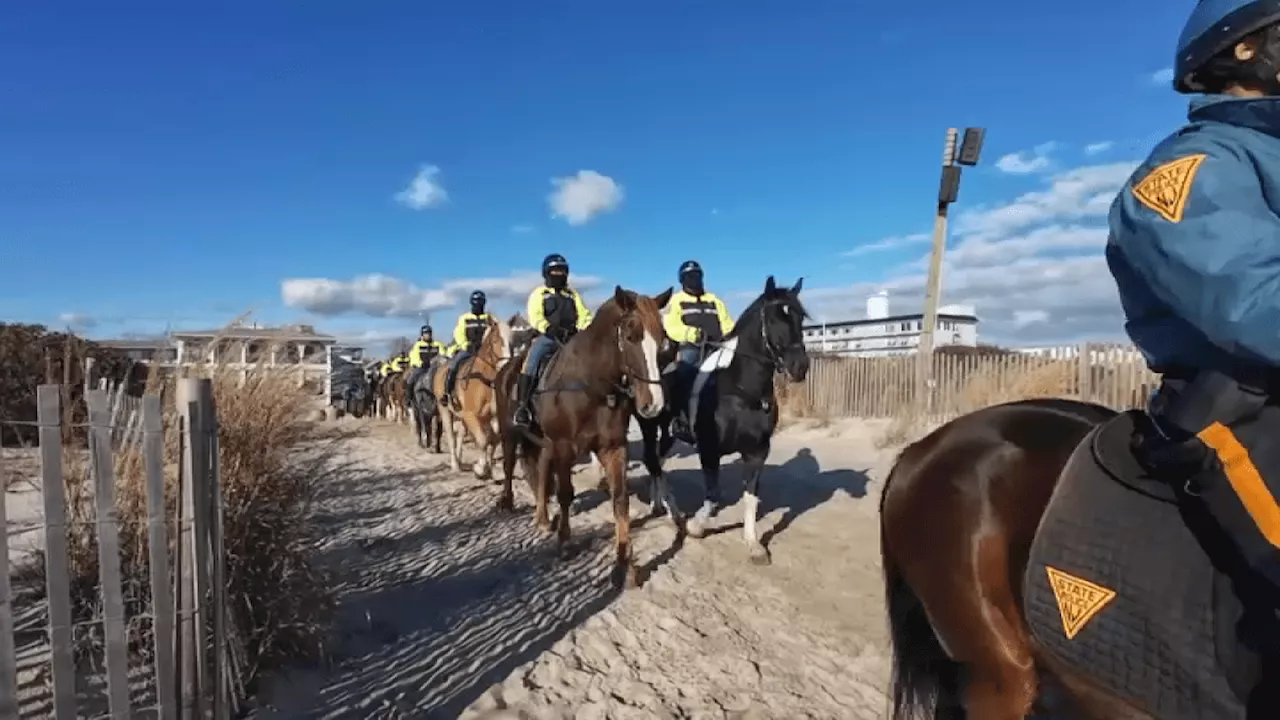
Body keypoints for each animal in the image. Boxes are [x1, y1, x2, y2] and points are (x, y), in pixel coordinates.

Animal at [432, 312, 517, 476]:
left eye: (512, 341)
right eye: (496, 340)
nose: (507, 368)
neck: (484, 379)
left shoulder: (493, 416)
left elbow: (493, 439)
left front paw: (490, 468)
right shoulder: (471, 415)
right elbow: (483, 440)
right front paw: (480, 468)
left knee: (460, 435)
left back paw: (460, 460)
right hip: (445, 410)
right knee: (452, 437)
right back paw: (455, 465)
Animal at [506, 283, 680, 586]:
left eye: (662, 339)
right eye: (631, 336)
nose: (654, 404)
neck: (591, 386)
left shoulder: (613, 448)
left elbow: (620, 500)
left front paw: (625, 564)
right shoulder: (564, 446)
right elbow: (565, 494)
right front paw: (565, 543)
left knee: (541, 469)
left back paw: (543, 517)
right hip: (520, 435)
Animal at [634, 272, 803, 561]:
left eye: (801, 317)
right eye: (774, 319)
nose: (800, 367)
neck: (741, 392)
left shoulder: (757, 451)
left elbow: (750, 497)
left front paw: (753, 544)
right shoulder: (709, 450)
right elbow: (713, 496)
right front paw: (695, 527)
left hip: (668, 434)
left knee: (657, 461)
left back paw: (659, 505)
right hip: (649, 425)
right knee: (652, 461)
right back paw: (672, 511)